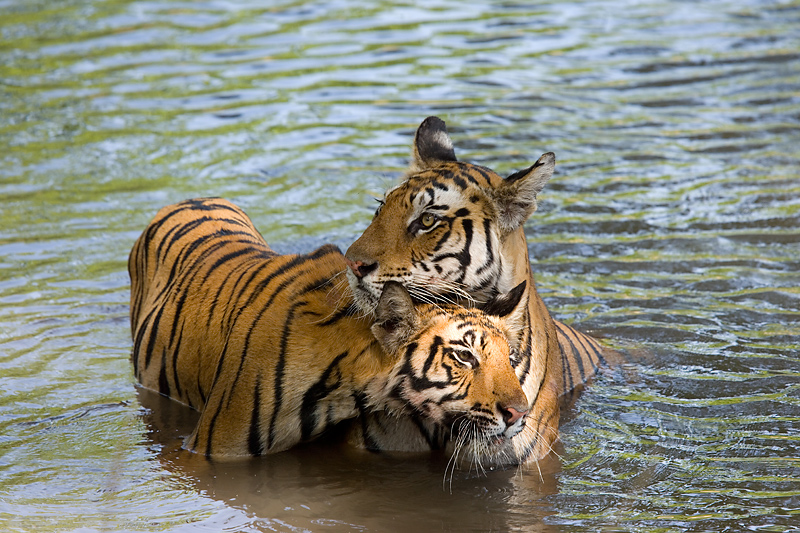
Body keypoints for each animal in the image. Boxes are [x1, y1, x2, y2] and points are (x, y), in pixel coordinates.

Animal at [130, 197, 532, 460]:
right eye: (464, 356)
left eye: (509, 357)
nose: (520, 414)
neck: (342, 388)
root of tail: (192, 199)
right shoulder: (213, 446)